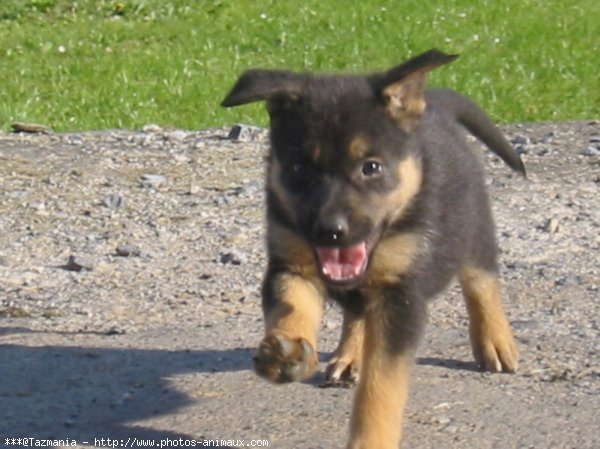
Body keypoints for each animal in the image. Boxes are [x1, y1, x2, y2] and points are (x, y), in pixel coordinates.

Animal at [223, 49, 524, 448]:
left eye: (372, 167)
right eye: (300, 168)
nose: (331, 232)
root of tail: (435, 107)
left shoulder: (400, 295)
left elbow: (381, 387)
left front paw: (371, 439)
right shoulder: (290, 263)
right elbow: (293, 308)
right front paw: (288, 351)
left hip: (473, 229)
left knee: (482, 282)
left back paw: (496, 342)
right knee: (357, 313)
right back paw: (349, 355)